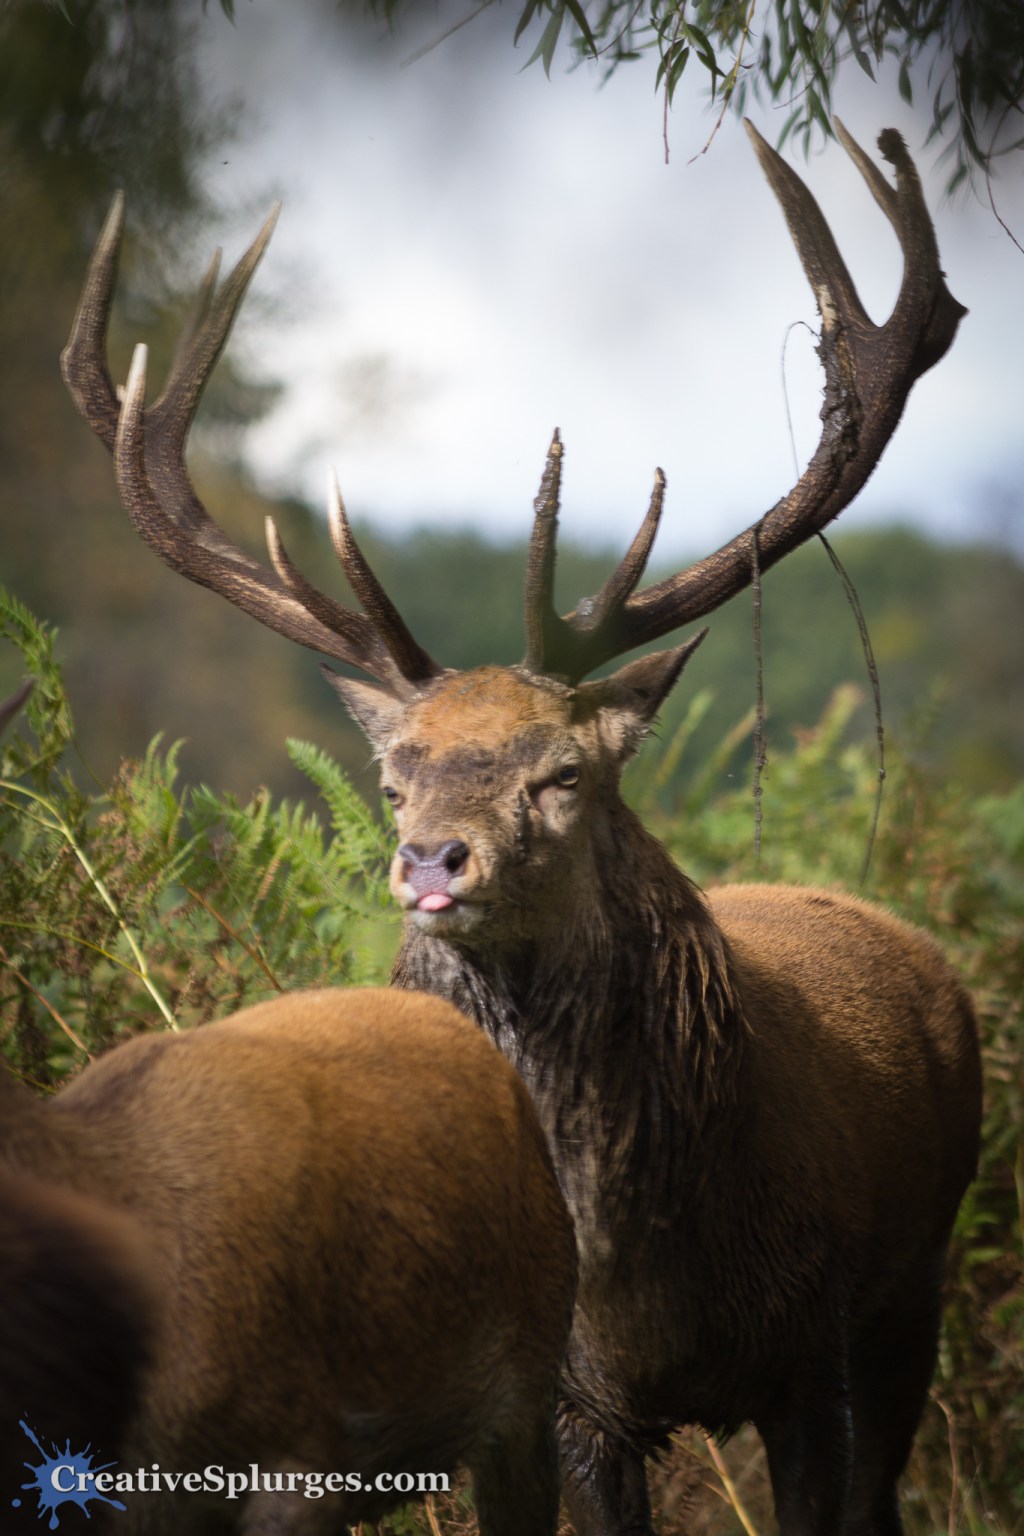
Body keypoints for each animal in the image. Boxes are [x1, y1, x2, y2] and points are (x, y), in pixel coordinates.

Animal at [62, 120, 982, 1536]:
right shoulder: (568, 1404)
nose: (432, 859)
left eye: (561, 775)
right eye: (394, 779)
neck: (644, 1277)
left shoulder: (812, 1348)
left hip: (915, 1290)